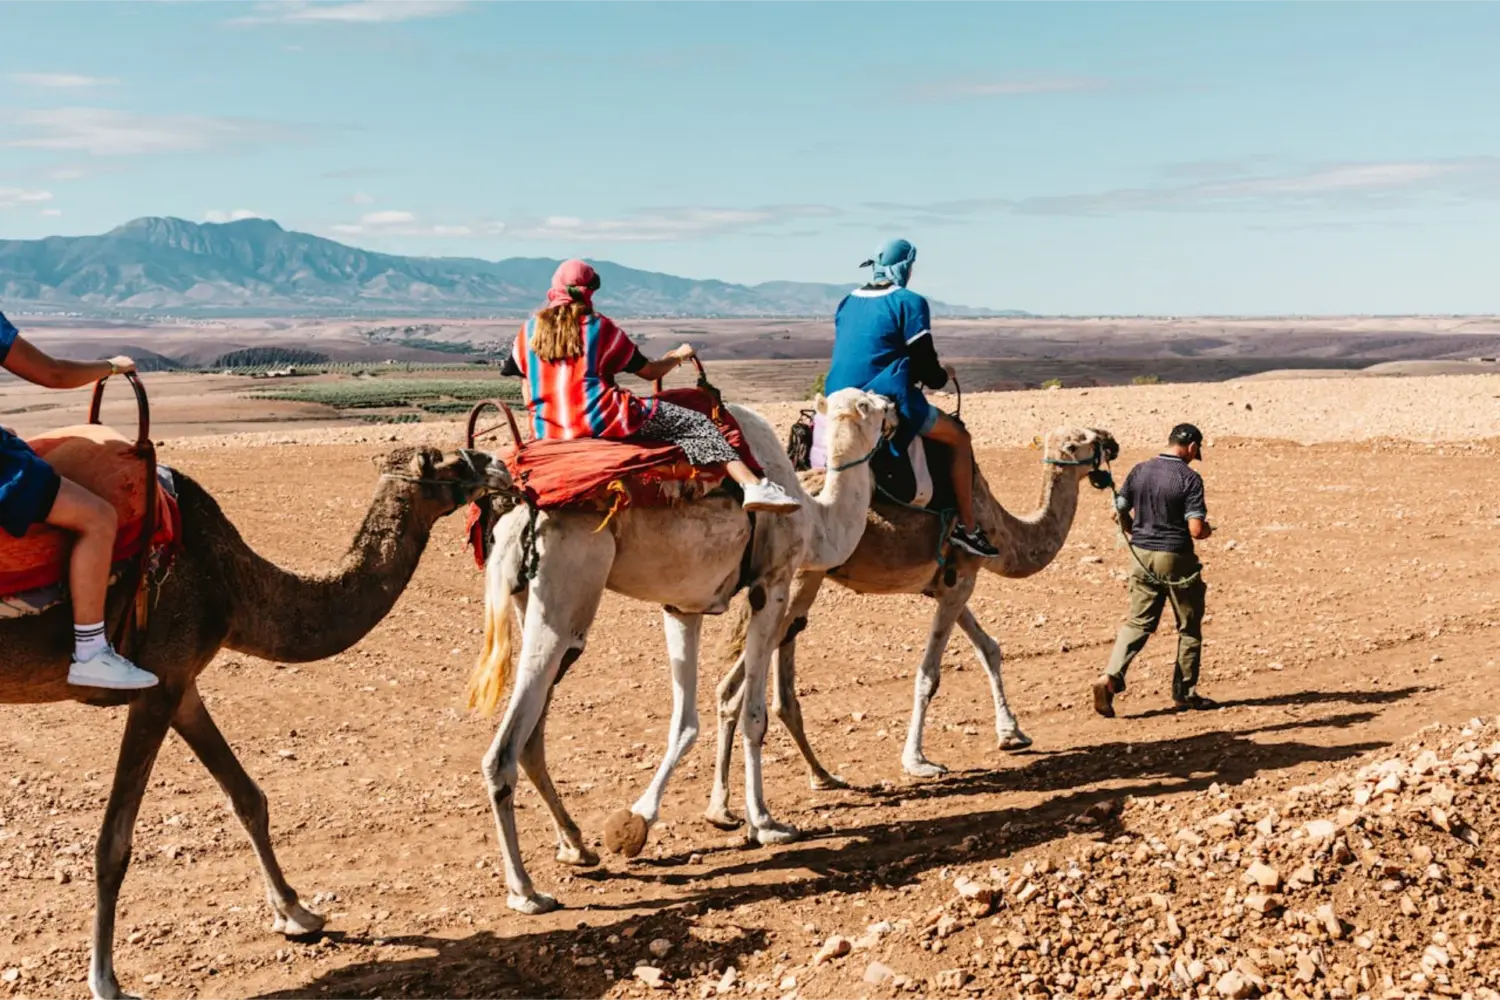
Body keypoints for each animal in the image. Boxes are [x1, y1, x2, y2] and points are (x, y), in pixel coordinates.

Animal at [0, 445, 509, 1000]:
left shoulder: (181, 684)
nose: (502, 468)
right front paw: (105, 981)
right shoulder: (157, 682)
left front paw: (298, 912)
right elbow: (113, 841)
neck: (230, 583)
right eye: (453, 462)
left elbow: (247, 797)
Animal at [463, 388, 896, 916]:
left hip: (535, 609)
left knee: (532, 737)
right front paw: (766, 822)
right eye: (870, 405)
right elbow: (753, 716)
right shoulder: (771, 585)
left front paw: (643, 820)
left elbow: (685, 722)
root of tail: (517, 511)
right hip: (564, 598)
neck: (816, 523)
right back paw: (525, 890)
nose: (895, 406)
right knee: (503, 751)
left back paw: (577, 846)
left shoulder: (683, 608)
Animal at [706, 426, 1118, 823]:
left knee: (780, 679)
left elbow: (990, 648)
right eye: (1082, 441)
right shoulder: (961, 578)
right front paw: (918, 761)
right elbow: (929, 674)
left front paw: (1012, 733)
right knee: (734, 687)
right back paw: (726, 809)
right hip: (798, 579)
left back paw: (817, 778)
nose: (1111, 441)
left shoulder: (944, 586)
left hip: (803, 581)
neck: (999, 528)